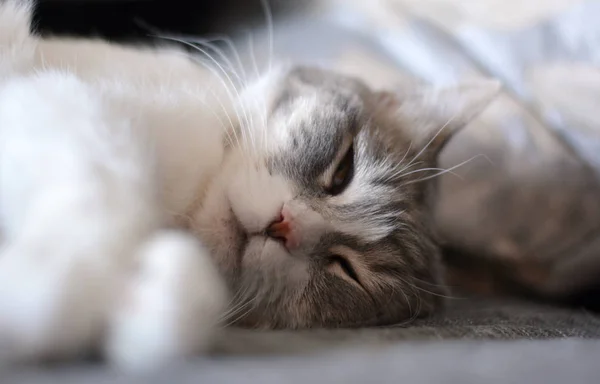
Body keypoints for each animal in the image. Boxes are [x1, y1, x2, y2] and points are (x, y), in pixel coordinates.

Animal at [0, 0, 500, 372]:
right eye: (343, 171)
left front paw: (148, 302)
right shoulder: (67, 105)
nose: (285, 226)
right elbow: (109, 196)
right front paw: (45, 291)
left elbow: (189, 303)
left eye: (346, 270)